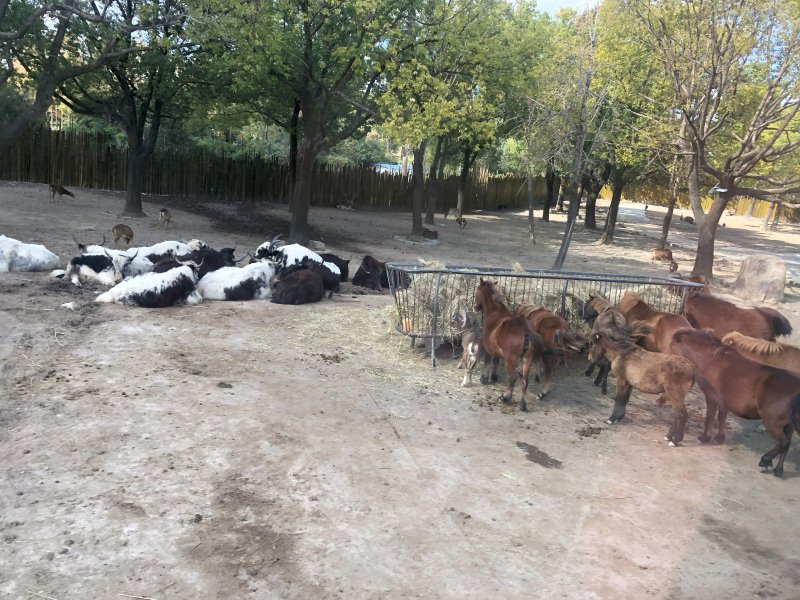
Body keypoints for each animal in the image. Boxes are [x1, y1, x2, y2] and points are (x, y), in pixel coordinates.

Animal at [473, 279, 546, 411]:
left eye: (477, 290)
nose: (475, 306)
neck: (495, 312)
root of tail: (526, 330)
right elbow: (496, 361)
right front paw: (493, 376)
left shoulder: (488, 347)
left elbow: (488, 361)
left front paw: (484, 378)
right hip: (527, 358)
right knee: (524, 380)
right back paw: (522, 404)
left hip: (510, 359)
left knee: (512, 378)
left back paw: (505, 397)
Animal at [589, 314, 694, 446]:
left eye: (592, 343)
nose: (589, 358)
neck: (621, 353)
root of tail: (691, 370)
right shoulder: (629, 383)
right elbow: (624, 400)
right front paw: (619, 417)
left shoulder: (621, 380)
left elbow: (619, 399)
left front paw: (611, 419)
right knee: (678, 415)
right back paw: (669, 437)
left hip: (675, 393)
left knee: (682, 415)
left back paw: (675, 441)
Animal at [670, 328, 800, 476]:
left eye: (671, 345)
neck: (711, 359)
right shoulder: (723, 400)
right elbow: (722, 417)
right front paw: (719, 438)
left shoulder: (711, 397)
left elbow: (710, 417)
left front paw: (705, 437)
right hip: (788, 425)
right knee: (787, 444)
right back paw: (778, 470)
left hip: (772, 422)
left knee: (782, 443)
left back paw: (765, 460)